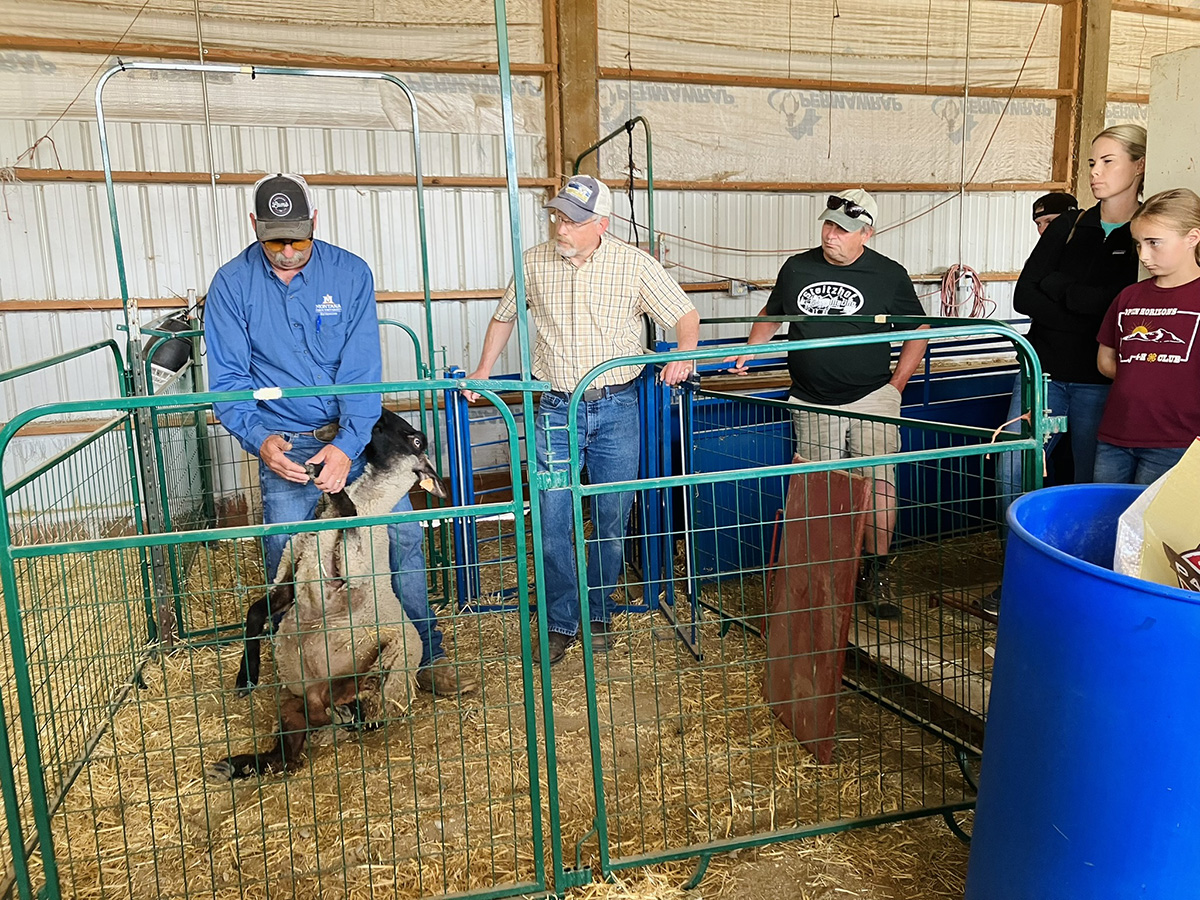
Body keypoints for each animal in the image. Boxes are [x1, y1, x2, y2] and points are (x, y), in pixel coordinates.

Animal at [206, 408, 451, 782]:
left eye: (416, 440)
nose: (375, 413)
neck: (370, 507)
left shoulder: (348, 575)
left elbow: (347, 511)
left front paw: (322, 473)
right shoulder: (291, 575)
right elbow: (256, 612)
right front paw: (245, 676)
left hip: (392, 664)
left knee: (360, 702)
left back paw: (352, 700)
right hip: (294, 707)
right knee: (290, 754)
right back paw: (238, 765)